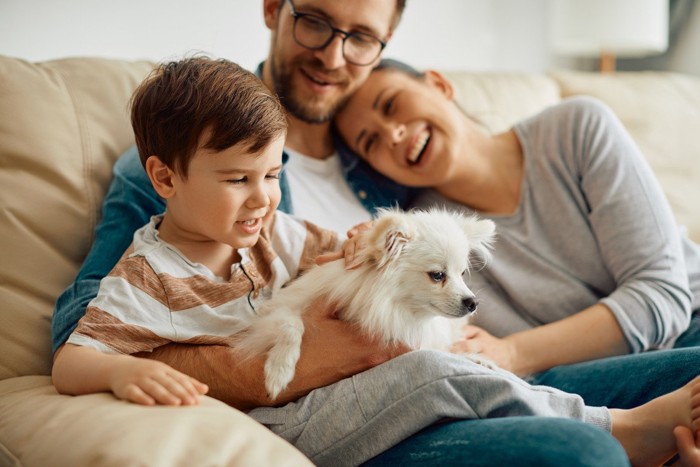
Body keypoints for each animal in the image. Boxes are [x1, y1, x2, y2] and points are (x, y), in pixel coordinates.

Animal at [237, 209, 498, 402]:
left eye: (462, 274)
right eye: (437, 275)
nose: (472, 302)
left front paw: (474, 358)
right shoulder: (273, 311)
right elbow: (292, 325)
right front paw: (279, 370)